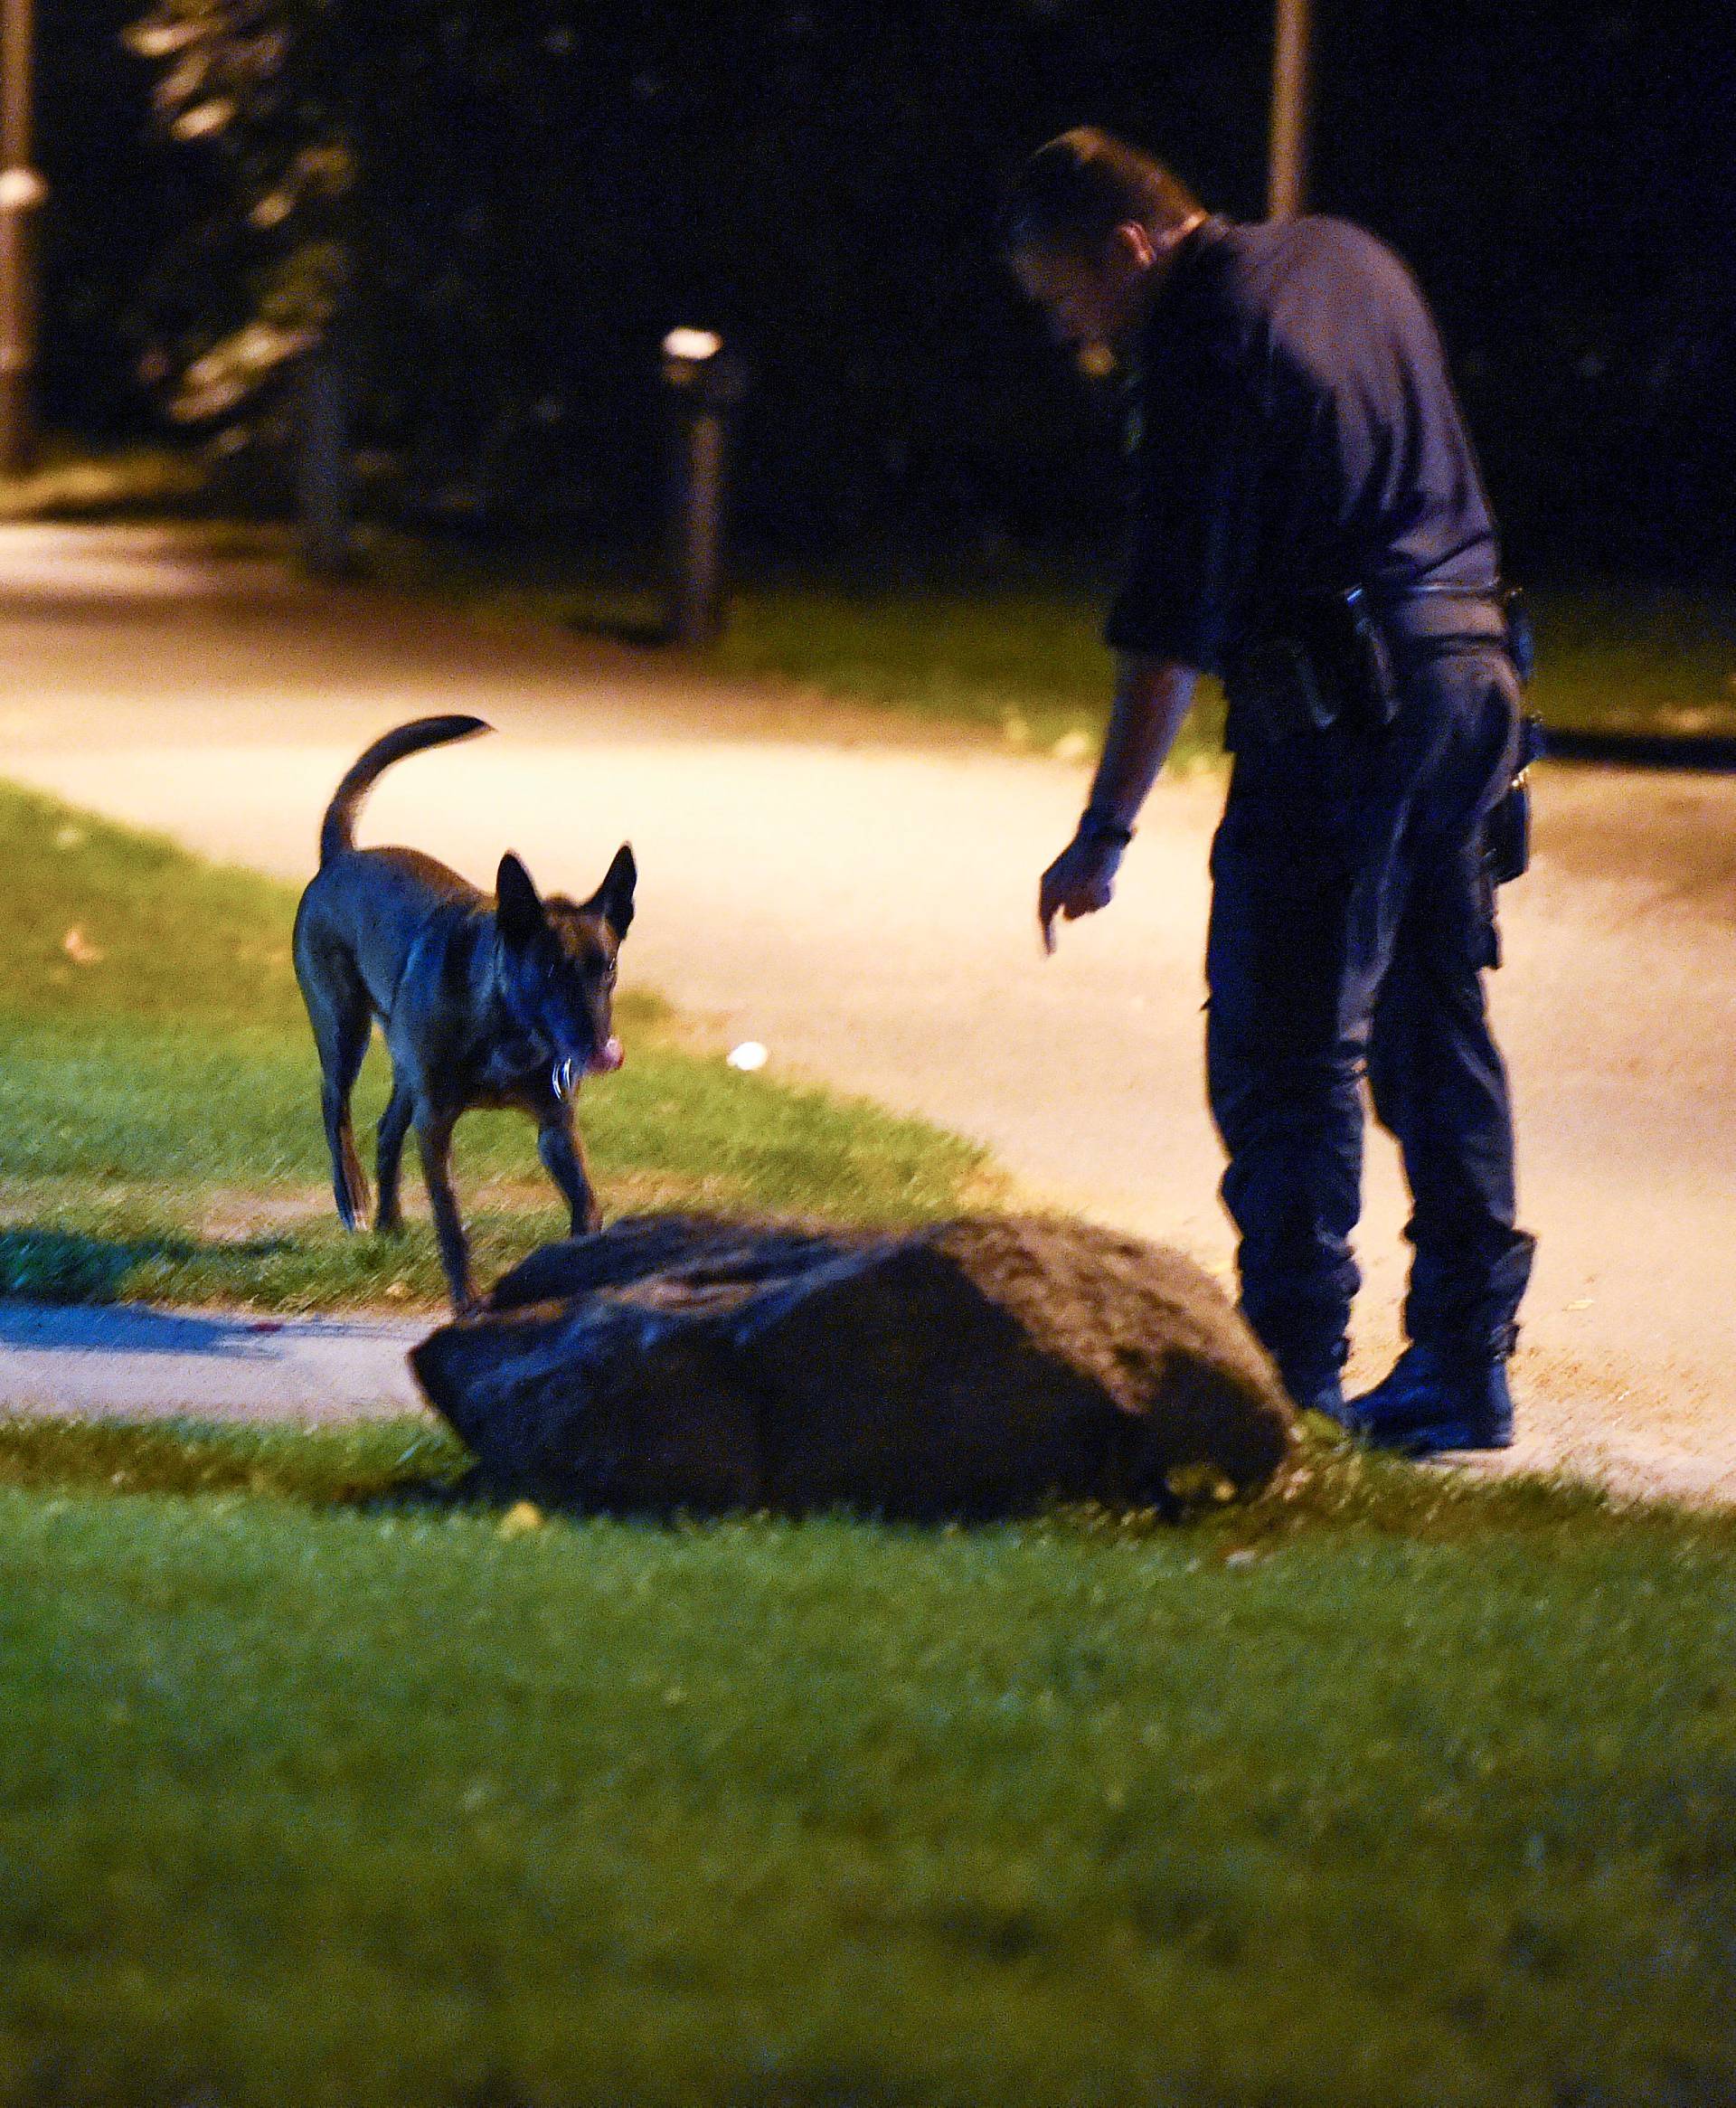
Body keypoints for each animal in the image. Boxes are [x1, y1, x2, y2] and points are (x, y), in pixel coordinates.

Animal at [295, 724, 640, 1315]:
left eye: (609, 967)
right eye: (550, 968)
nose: (600, 1049)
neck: (504, 1022)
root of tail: (341, 857)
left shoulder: (555, 1128)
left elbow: (588, 1206)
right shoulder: (437, 1126)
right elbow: (451, 1221)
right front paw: (467, 1301)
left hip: (406, 1069)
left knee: (387, 1128)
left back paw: (388, 1222)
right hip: (344, 1029)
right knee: (333, 1104)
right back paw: (354, 1200)